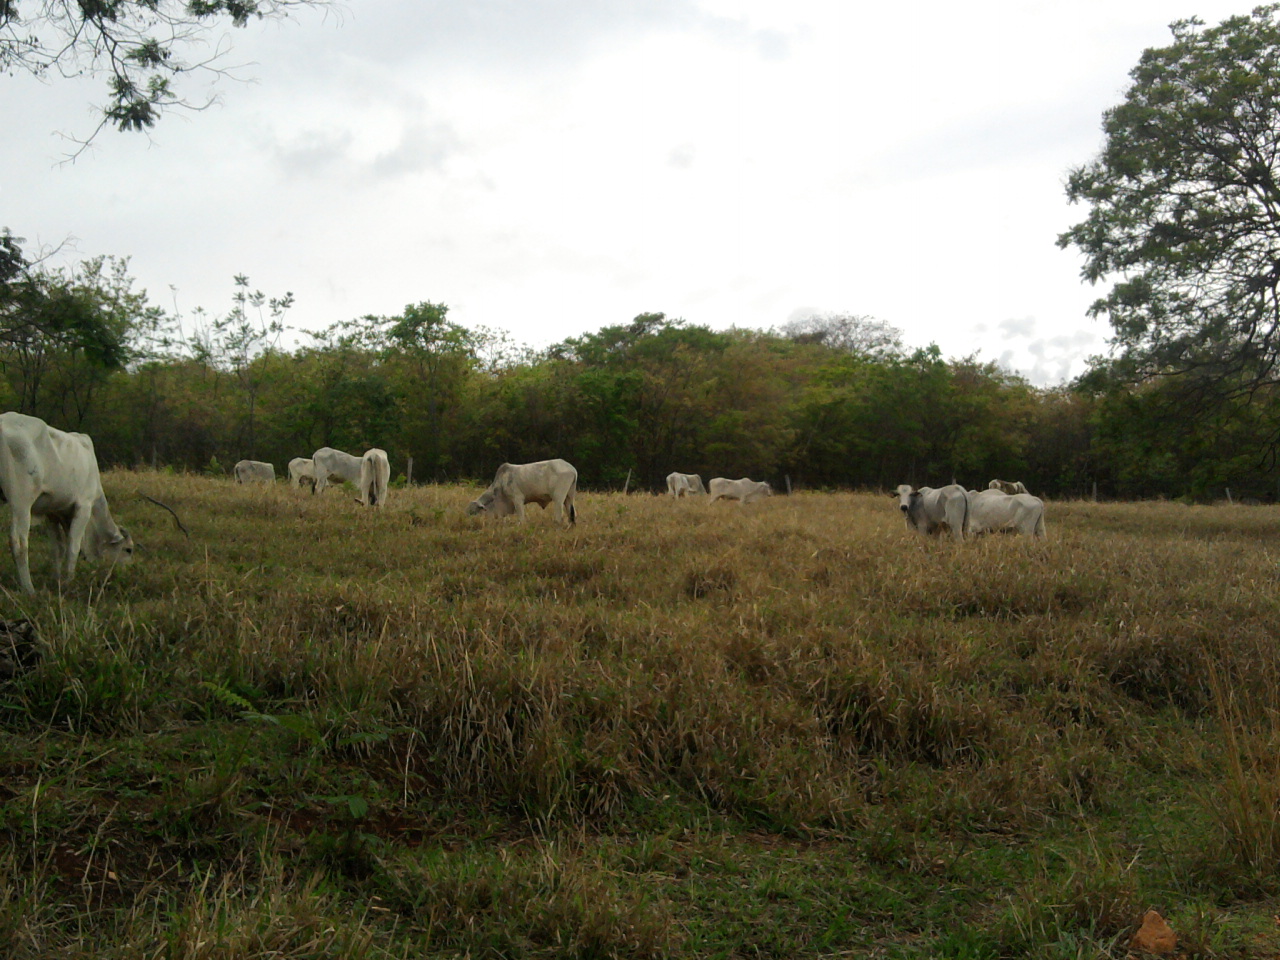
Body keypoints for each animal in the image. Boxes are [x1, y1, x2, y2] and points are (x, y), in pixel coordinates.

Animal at [0, 412, 135, 593]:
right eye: (128, 550)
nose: (125, 573)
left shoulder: (52, 512)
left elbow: (58, 548)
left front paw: (56, 579)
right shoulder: (83, 507)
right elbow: (73, 547)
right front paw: (68, 582)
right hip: (21, 503)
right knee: (19, 544)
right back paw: (29, 589)